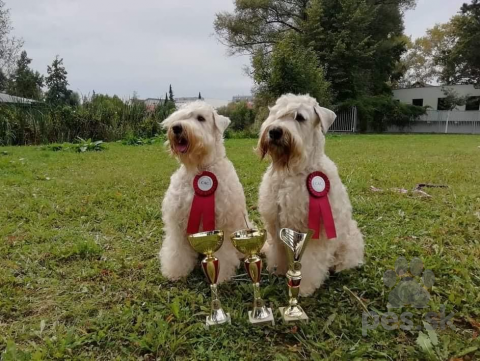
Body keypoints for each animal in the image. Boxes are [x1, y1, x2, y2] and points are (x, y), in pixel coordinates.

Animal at [159, 100, 248, 282]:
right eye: (178, 116)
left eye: (201, 118)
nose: (176, 128)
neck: (200, 170)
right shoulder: (177, 222)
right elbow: (176, 250)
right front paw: (175, 271)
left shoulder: (222, 223)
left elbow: (224, 253)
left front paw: (220, 275)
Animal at [258, 93, 364, 296]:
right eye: (275, 113)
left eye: (300, 117)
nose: (274, 132)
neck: (293, 172)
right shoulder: (277, 223)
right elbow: (279, 249)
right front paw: (278, 270)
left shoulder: (316, 231)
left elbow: (312, 261)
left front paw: (304, 286)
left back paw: (338, 266)